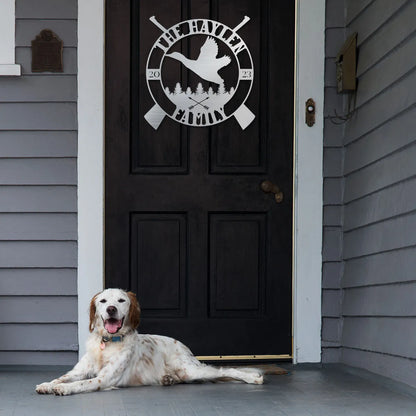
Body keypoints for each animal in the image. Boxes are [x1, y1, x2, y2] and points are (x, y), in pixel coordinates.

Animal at [35, 288, 264, 394]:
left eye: (121, 300)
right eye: (103, 301)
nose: (111, 309)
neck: (107, 343)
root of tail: (182, 344)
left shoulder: (105, 378)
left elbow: (83, 383)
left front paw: (65, 389)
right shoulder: (79, 371)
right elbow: (62, 377)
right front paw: (47, 384)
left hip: (190, 370)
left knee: (225, 370)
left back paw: (253, 378)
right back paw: (168, 379)